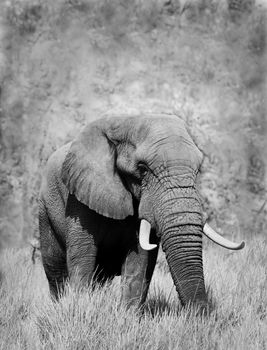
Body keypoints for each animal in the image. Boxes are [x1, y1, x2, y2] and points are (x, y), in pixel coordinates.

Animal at [38, 113, 246, 314]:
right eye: (143, 169)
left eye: (198, 170)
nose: (202, 313)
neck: (123, 122)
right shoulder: (79, 197)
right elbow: (83, 256)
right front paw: (81, 308)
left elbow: (139, 260)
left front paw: (128, 316)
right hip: (45, 211)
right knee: (55, 269)